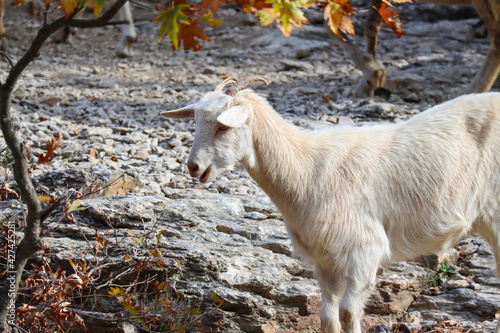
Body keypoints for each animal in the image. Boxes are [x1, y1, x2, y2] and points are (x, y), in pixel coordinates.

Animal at [161, 77, 500, 332]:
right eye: (195, 123)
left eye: (223, 127)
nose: (193, 167)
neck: (306, 170)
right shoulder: (325, 261)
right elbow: (327, 318)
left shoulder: (365, 250)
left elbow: (349, 314)